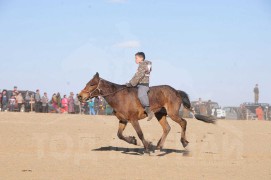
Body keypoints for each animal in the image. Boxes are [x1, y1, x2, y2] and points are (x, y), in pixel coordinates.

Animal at [78, 72, 215, 153]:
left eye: (92, 84)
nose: (79, 96)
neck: (119, 96)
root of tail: (176, 91)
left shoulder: (133, 120)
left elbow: (140, 133)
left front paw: (147, 147)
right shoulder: (123, 120)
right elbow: (120, 135)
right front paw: (133, 141)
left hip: (173, 114)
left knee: (183, 122)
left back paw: (184, 142)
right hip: (160, 114)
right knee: (167, 128)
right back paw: (159, 146)